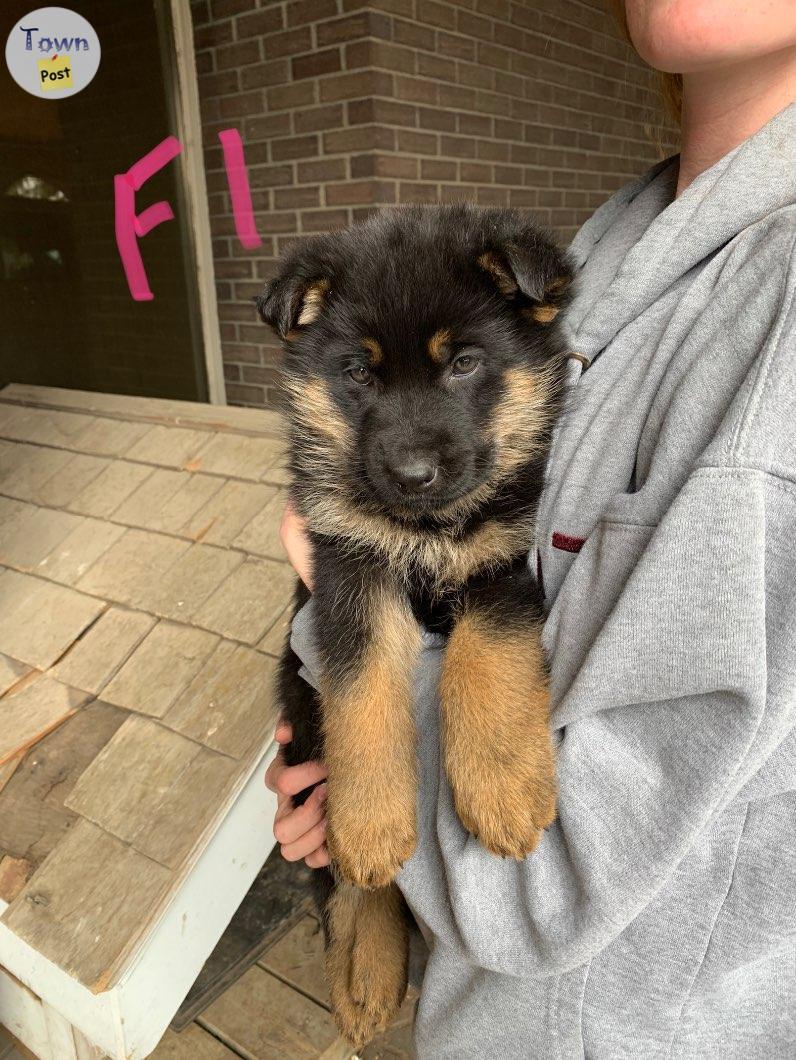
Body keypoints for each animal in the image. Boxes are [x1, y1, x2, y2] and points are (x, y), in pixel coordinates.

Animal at [259, 204, 572, 1043]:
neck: (426, 530)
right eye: (359, 373)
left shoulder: (502, 562)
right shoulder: (348, 574)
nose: (411, 476)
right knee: (345, 880)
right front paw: (372, 823)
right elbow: (363, 695)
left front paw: (503, 788)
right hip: (301, 721)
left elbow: (479, 657)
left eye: (462, 363)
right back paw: (366, 973)